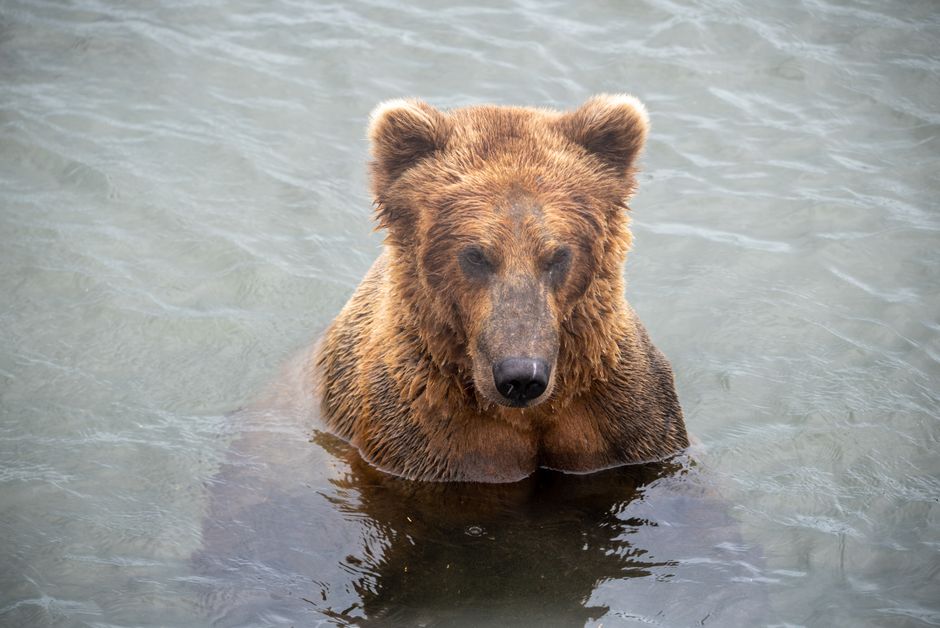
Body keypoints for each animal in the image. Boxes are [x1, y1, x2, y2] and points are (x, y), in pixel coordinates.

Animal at [315, 94, 688, 482]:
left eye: (558, 254)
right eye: (476, 255)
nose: (521, 376)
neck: (534, 413)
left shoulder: (623, 419)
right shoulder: (426, 437)